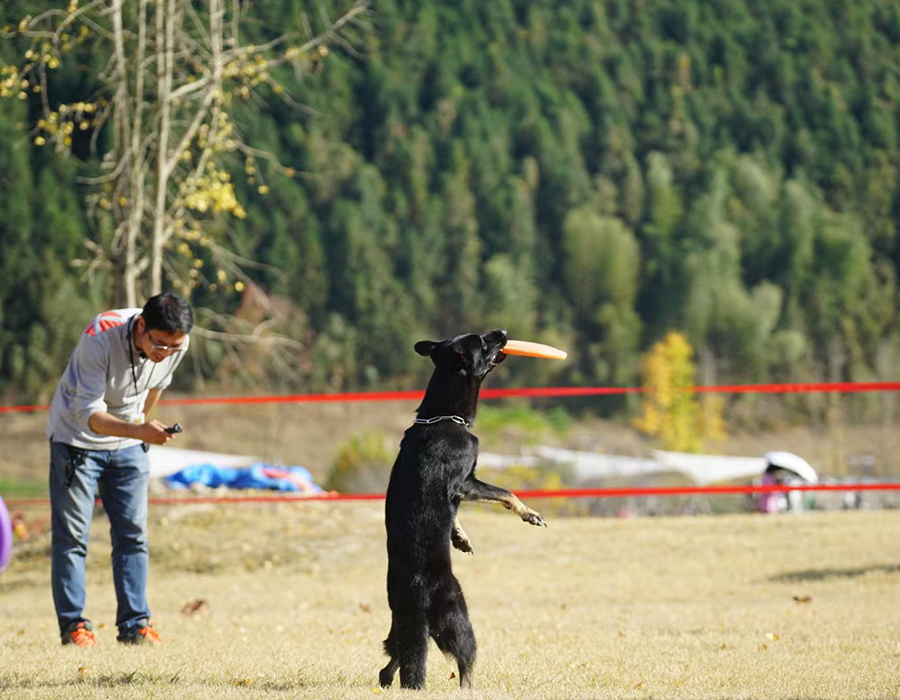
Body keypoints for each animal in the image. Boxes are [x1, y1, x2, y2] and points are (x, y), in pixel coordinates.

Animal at [378, 330, 544, 688]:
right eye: (482, 341)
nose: (503, 332)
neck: (441, 415)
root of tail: (416, 599)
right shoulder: (466, 482)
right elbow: (505, 492)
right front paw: (530, 513)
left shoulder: (458, 492)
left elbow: (455, 516)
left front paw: (460, 538)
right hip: (460, 620)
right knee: (466, 663)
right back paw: (472, 689)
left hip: (402, 631)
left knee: (390, 664)